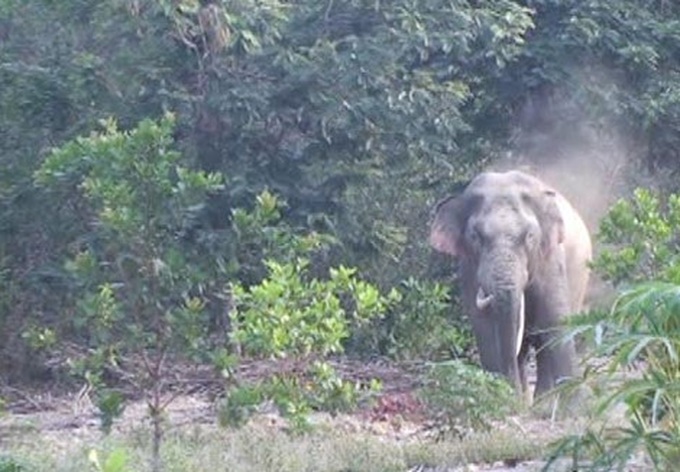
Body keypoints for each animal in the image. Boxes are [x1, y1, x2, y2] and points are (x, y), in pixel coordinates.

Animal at [429, 170, 592, 399]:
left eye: (530, 236)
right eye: (475, 236)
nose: (509, 388)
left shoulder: (550, 258)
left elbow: (554, 318)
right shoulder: (468, 267)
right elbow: (484, 326)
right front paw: (505, 399)